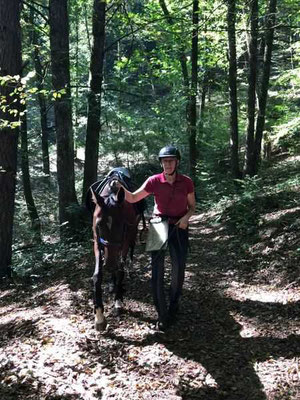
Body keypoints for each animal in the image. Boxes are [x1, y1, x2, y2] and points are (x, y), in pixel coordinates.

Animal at [87, 170, 145, 330]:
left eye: (122, 224)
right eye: (99, 225)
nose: (110, 264)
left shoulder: (125, 239)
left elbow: (120, 270)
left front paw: (118, 301)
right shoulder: (98, 243)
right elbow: (97, 275)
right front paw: (99, 315)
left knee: (128, 254)